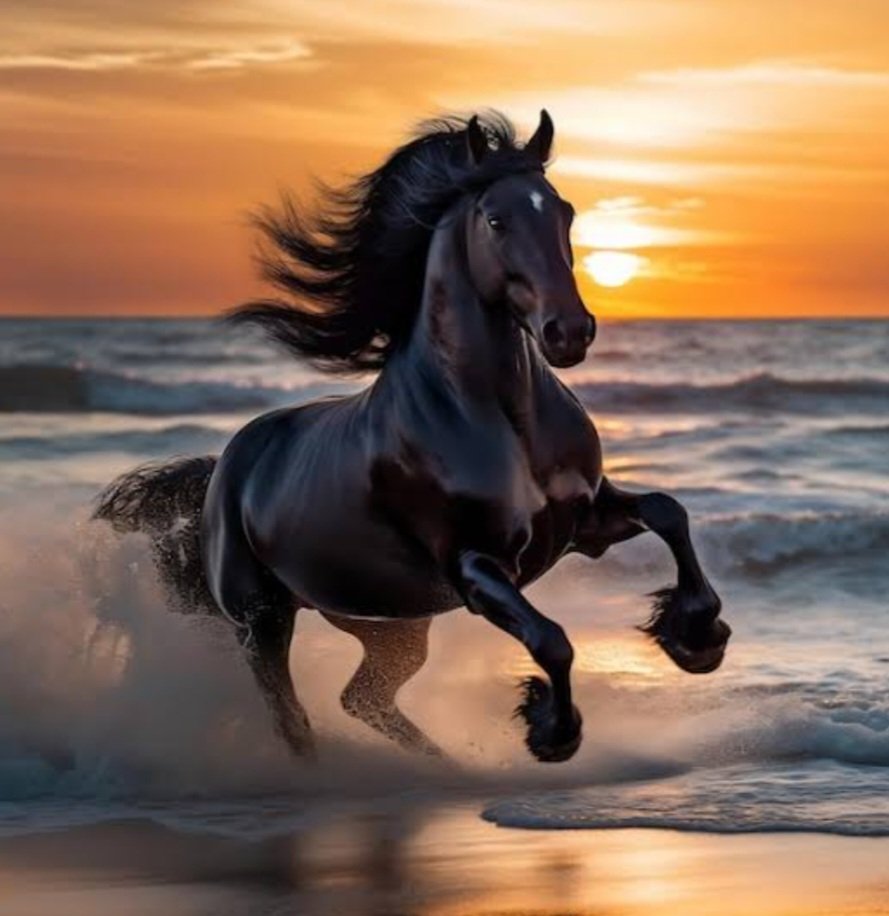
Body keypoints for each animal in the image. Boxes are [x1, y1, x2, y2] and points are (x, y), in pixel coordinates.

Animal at [95, 111, 730, 763]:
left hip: (389, 621)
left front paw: (697, 636)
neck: (501, 419)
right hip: (262, 620)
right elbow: (551, 638)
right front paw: (551, 729)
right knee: (293, 717)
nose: (569, 332)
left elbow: (668, 511)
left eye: (565, 211)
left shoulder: (584, 523)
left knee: (363, 697)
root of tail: (225, 467)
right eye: (495, 219)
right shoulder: (474, 567)